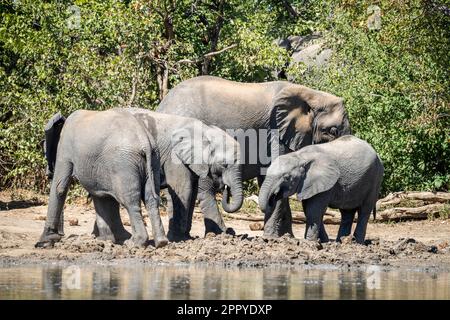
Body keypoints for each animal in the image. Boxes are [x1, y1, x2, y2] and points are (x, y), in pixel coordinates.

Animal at [35, 109, 169, 249]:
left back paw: (134, 243)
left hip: (124, 164)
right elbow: (100, 195)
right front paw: (105, 240)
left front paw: (43, 242)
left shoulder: (65, 148)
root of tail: (145, 141)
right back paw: (161, 243)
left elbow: (60, 187)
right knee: (150, 199)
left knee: (130, 202)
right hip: (154, 159)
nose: (60, 236)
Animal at [158, 75, 352, 238]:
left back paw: (184, 236)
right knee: (203, 187)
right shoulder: (276, 133)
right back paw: (221, 234)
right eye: (332, 131)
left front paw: (286, 237)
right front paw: (274, 237)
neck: (312, 94)